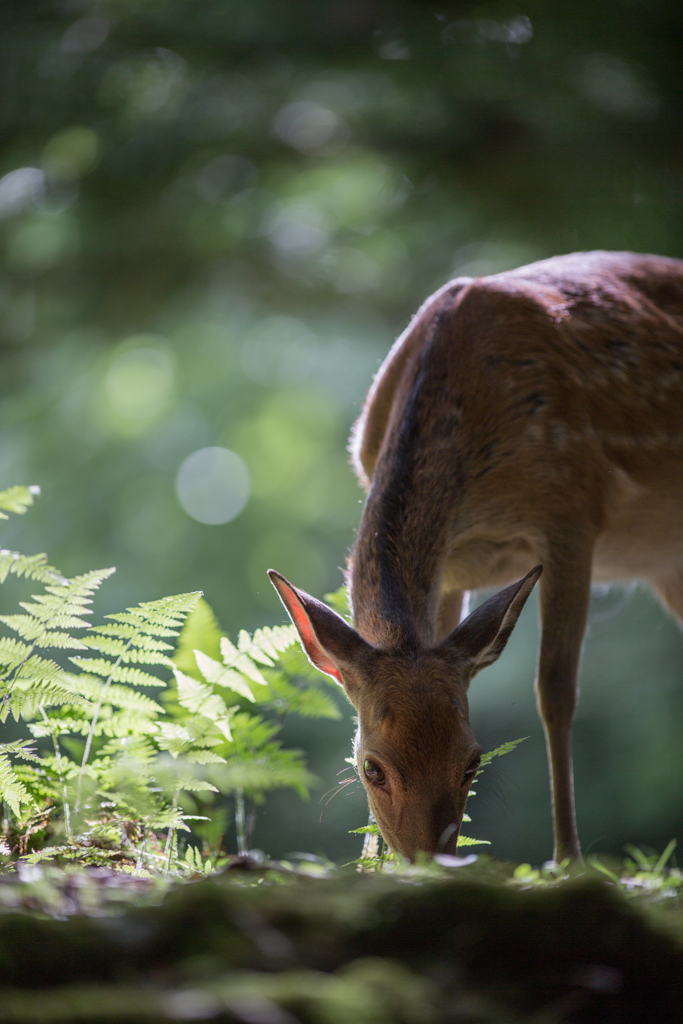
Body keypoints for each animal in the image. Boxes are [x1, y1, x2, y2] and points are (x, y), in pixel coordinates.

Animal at [266, 251, 683, 860]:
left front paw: (568, 859)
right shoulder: (453, 570)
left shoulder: (572, 512)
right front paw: (368, 862)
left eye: (472, 762)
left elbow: (555, 691)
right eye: (371, 768)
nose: (429, 859)